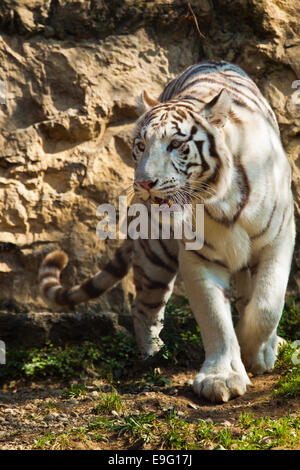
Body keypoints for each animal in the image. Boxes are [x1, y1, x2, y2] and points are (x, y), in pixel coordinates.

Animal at [38, 60, 294, 402]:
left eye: (176, 145)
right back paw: (154, 356)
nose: (144, 183)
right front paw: (221, 377)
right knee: (143, 307)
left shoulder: (278, 239)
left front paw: (256, 353)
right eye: (140, 145)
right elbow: (214, 318)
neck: (220, 200)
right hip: (154, 254)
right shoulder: (198, 257)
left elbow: (267, 305)